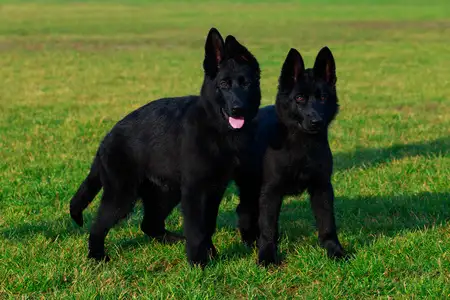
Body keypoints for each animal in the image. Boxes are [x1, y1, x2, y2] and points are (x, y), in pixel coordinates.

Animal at [236, 46, 344, 264]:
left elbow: (327, 223)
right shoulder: (271, 191)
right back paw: (250, 240)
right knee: (244, 211)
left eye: (323, 98)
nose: (316, 122)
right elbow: (268, 228)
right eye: (299, 98)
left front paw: (333, 250)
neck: (302, 146)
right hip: (250, 188)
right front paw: (267, 256)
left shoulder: (322, 187)